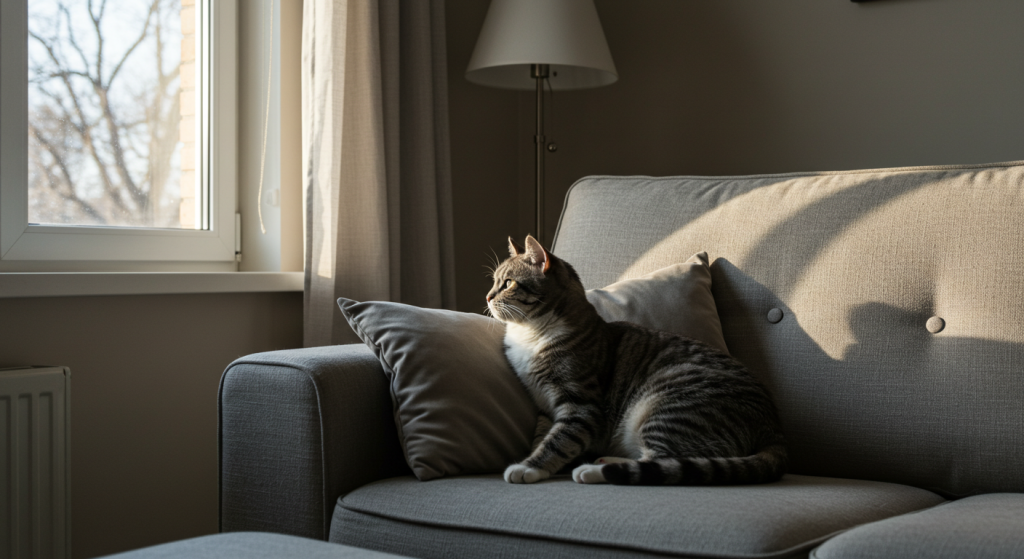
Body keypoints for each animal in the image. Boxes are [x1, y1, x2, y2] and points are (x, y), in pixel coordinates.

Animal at [483, 235, 786, 483]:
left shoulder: (582, 406)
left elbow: (558, 441)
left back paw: (594, 470)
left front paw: (528, 467)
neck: (531, 334)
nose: (486, 296)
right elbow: (542, 436)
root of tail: (774, 429)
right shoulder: (545, 407)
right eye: (495, 281)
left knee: (665, 463)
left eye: (508, 283)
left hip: (668, 405)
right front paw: (533, 457)